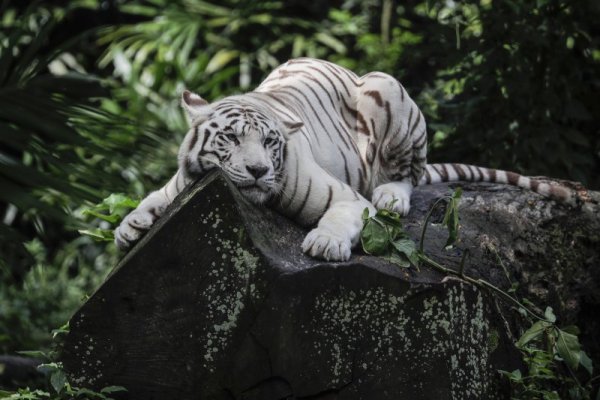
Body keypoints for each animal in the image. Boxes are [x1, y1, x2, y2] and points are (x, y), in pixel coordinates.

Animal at [116, 57, 572, 260]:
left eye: (270, 143)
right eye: (231, 138)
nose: (259, 170)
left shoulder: (347, 197)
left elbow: (342, 216)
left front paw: (326, 243)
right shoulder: (181, 179)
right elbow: (158, 195)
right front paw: (130, 226)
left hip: (388, 92)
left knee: (406, 175)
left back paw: (391, 196)